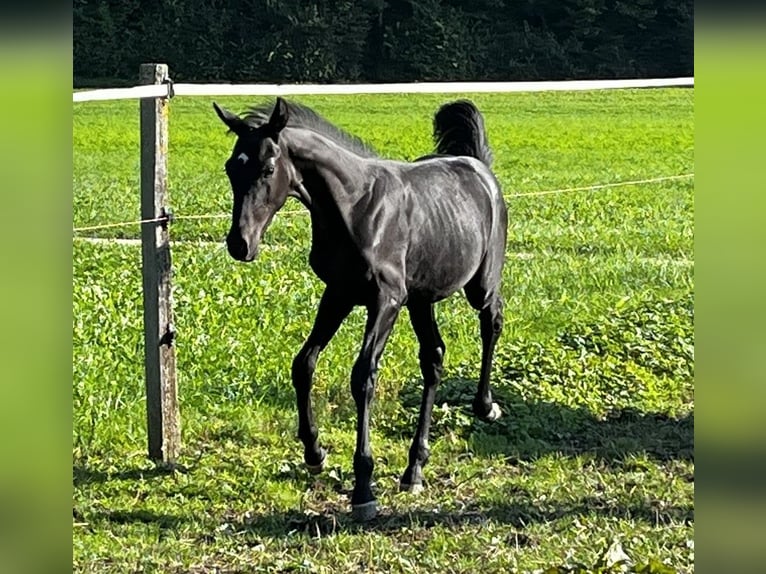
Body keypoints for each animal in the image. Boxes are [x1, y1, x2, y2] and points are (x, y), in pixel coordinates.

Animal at [213, 98, 508, 520]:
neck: (357, 209)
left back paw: (485, 406)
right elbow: (303, 363)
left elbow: (363, 376)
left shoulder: (386, 300)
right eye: (230, 168)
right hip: (421, 299)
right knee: (433, 358)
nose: (240, 244)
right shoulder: (338, 293)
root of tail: (478, 165)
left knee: (492, 319)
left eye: (268, 168)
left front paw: (363, 489)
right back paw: (414, 468)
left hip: (477, 284)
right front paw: (314, 453)